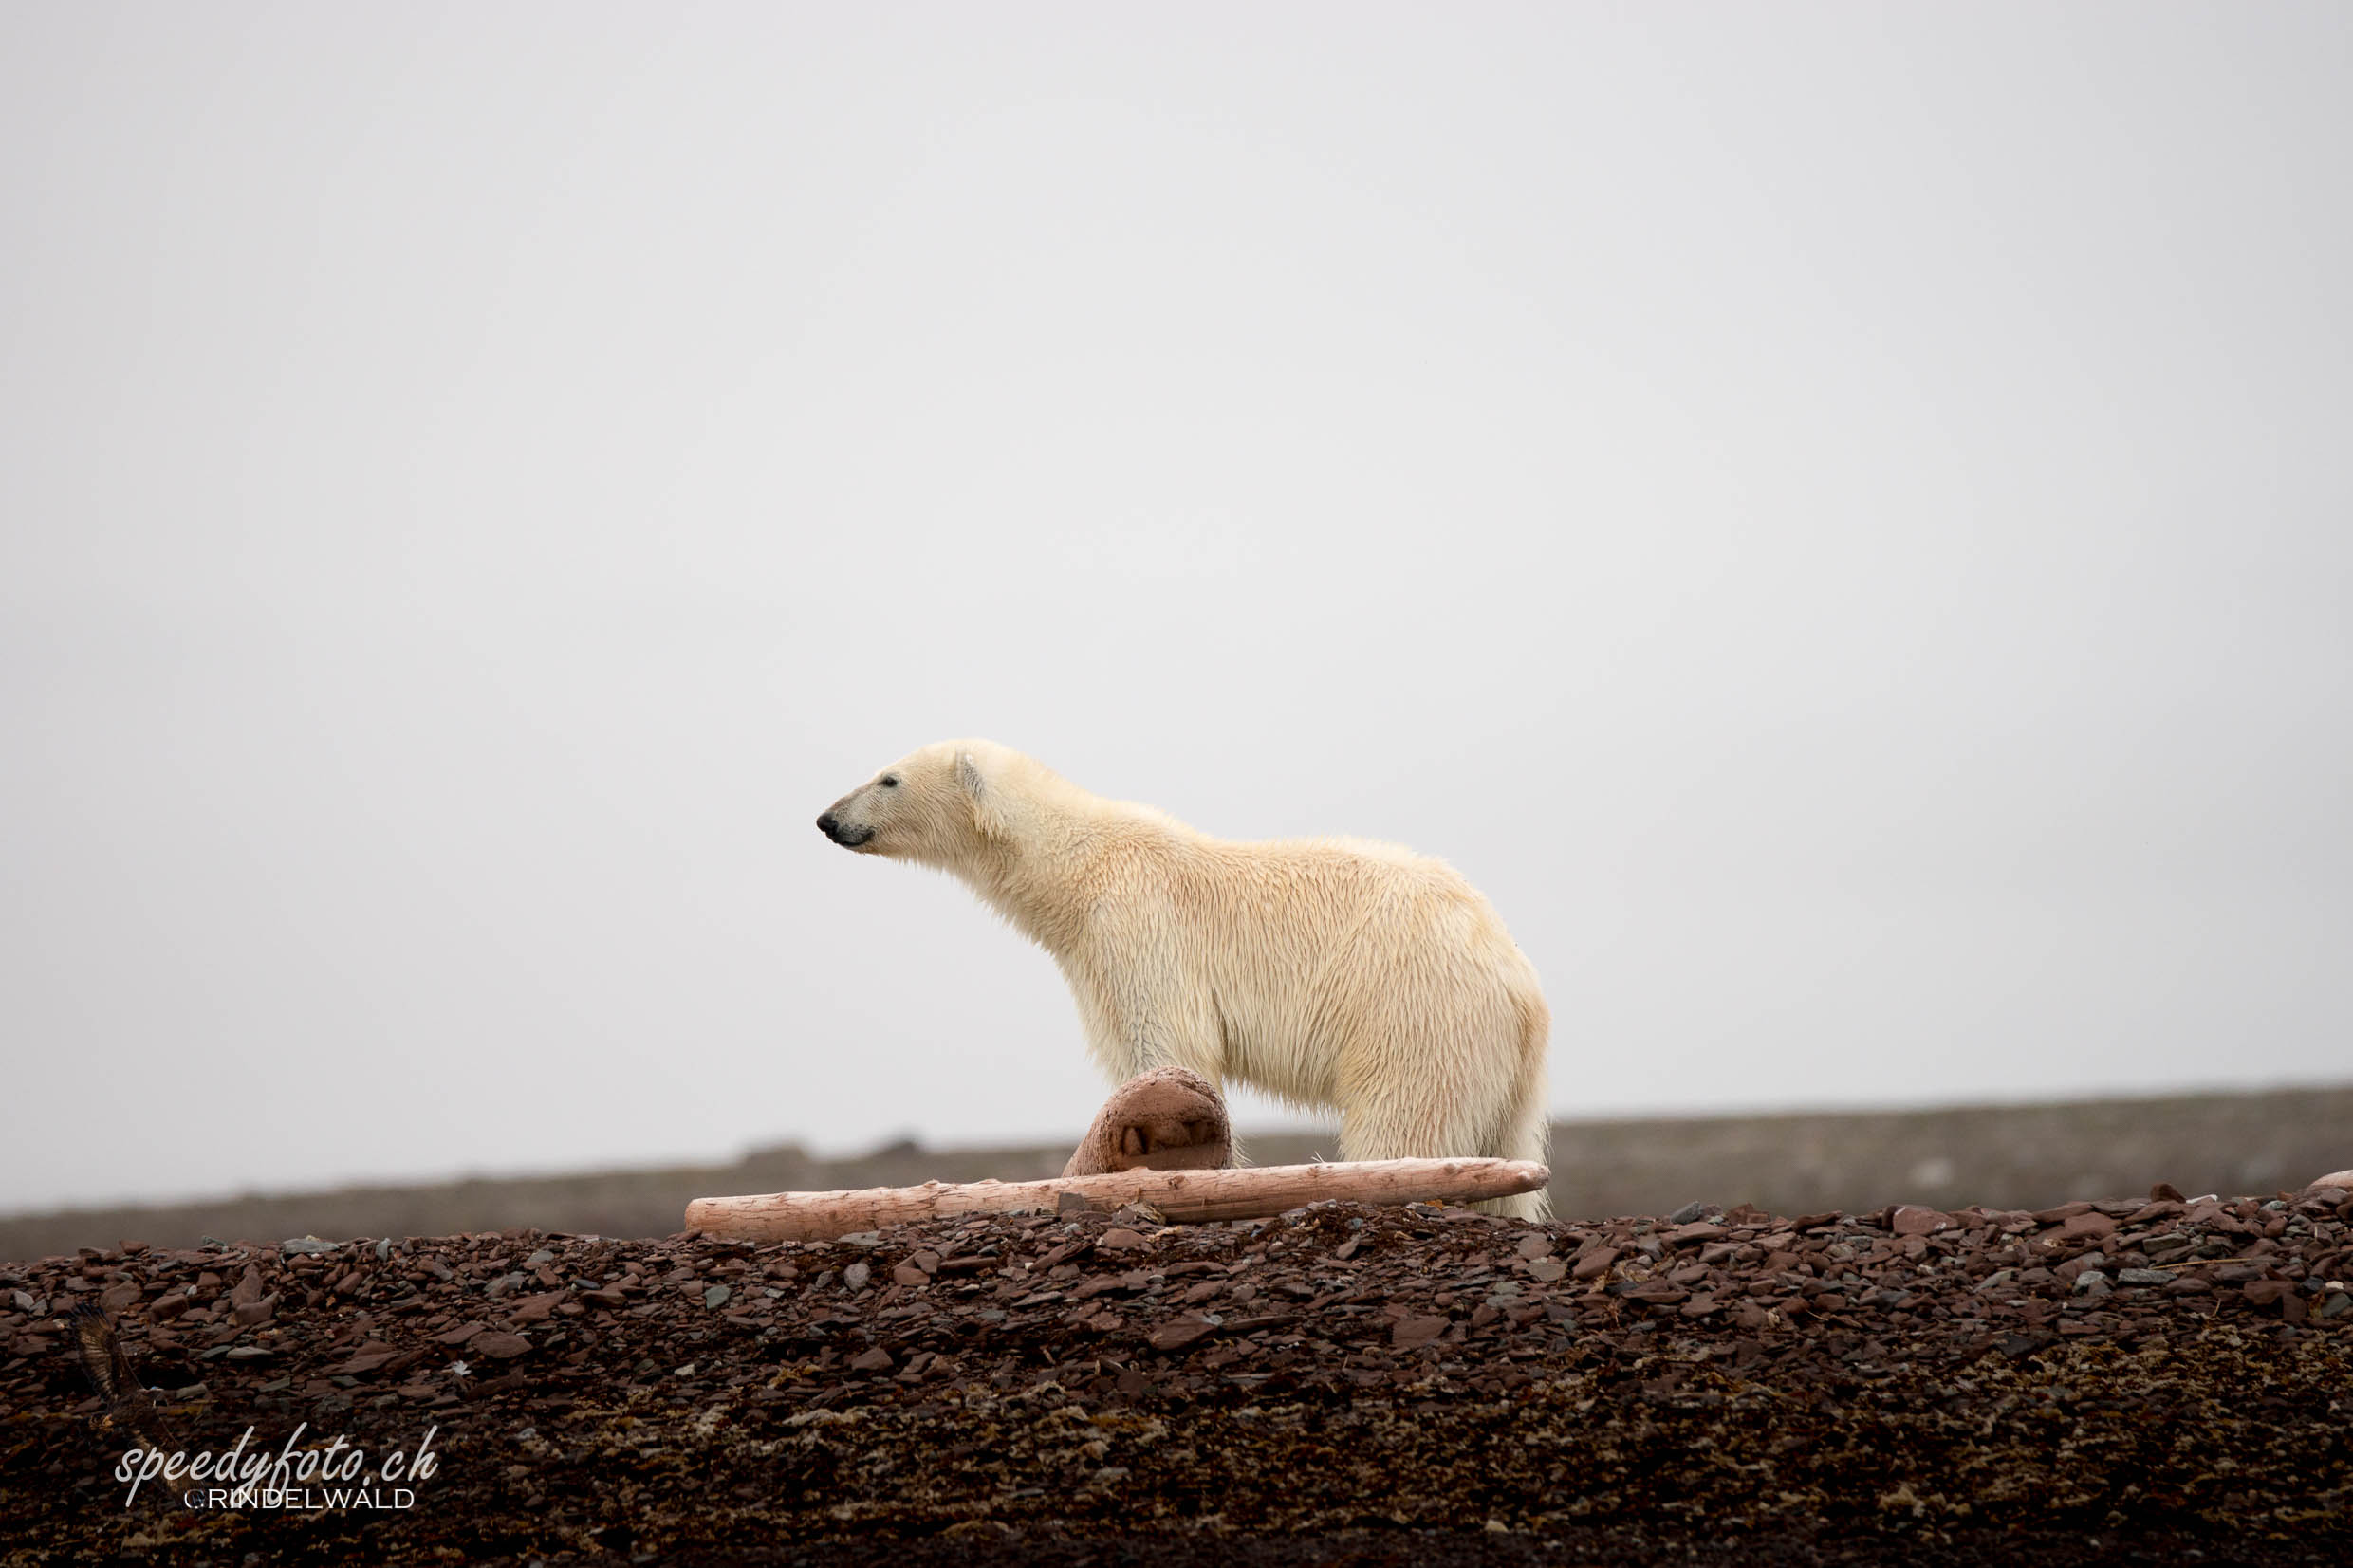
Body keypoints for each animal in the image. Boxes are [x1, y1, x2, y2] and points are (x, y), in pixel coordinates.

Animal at [819, 743, 1552, 1222]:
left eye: (888, 778)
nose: (827, 819)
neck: (1075, 866)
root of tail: (1520, 983)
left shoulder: (1137, 931)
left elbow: (1162, 1045)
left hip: (1414, 1012)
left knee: (1402, 1124)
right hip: (1505, 1068)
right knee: (1509, 1153)